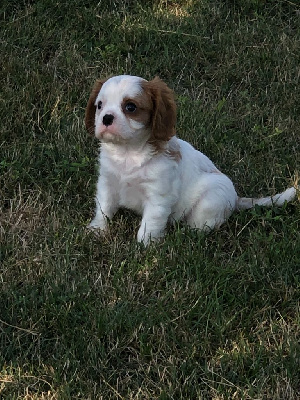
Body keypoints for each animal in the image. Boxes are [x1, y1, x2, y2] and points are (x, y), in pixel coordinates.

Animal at [85, 74, 296, 244]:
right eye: (99, 106)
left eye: (130, 107)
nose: (106, 118)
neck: (128, 153)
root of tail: (236, 199)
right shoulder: (107, 182)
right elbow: (104, 207)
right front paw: (98, 230)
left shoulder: (158, 195)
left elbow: (151, 221)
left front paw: (145, 245)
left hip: (210, 201)